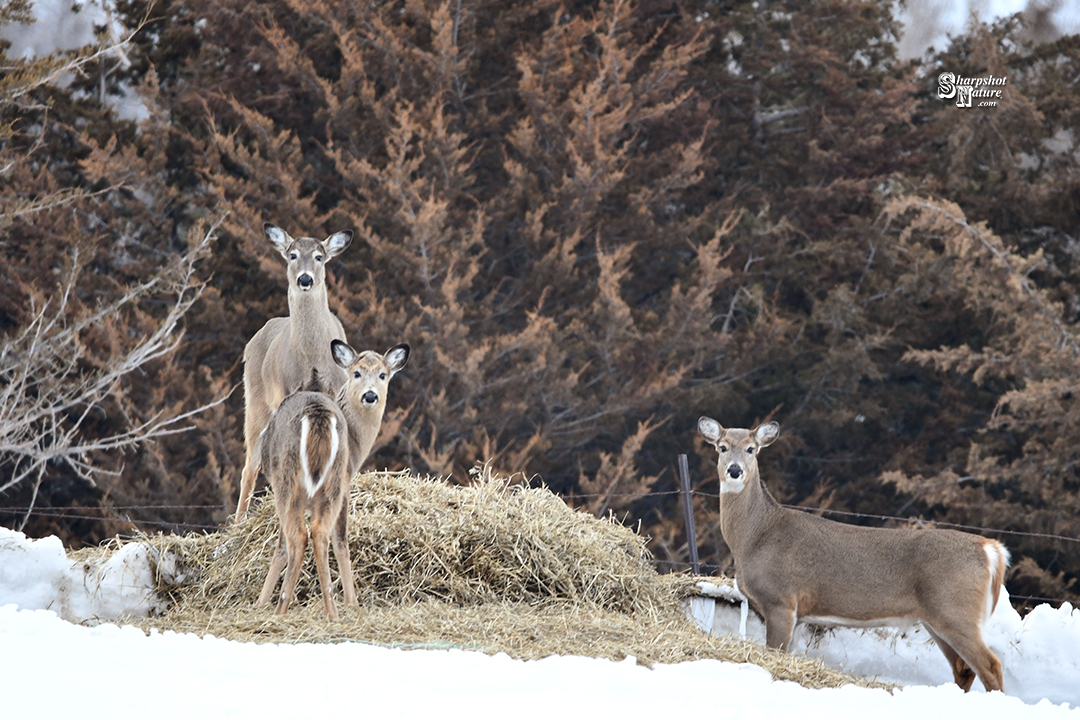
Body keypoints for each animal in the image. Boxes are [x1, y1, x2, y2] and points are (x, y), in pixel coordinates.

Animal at [237, 221, 352, 518]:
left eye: (319, 256)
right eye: (292, 255)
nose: (305, 279)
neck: (312, 357)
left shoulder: (335, 390)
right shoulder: (289, 391)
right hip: (256, 400)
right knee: (250, 464)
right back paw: (238, 521)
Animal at [253, 341, 408, 617]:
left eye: (383, 374)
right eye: (356, 373)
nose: (370, 396)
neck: (357, 445)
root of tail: (319, 414)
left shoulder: (344, 484)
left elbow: (328, 540)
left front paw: (260, 602)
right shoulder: (344, 482)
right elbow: (338, 538)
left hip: (289, 479)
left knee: (302, 536)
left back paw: (287, 607)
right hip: (328, 482)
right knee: (317, 533)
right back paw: (329, 610)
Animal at [695, 418, 1006, 695]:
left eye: (751, 449)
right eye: (722, 447)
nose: (735, 470)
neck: (755, 537)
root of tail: (990, 549)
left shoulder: (781, 600)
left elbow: (776, 652)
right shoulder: (797, 612)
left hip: (955, 609)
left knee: (990, 665)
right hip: (937, 617)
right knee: (963, 669)